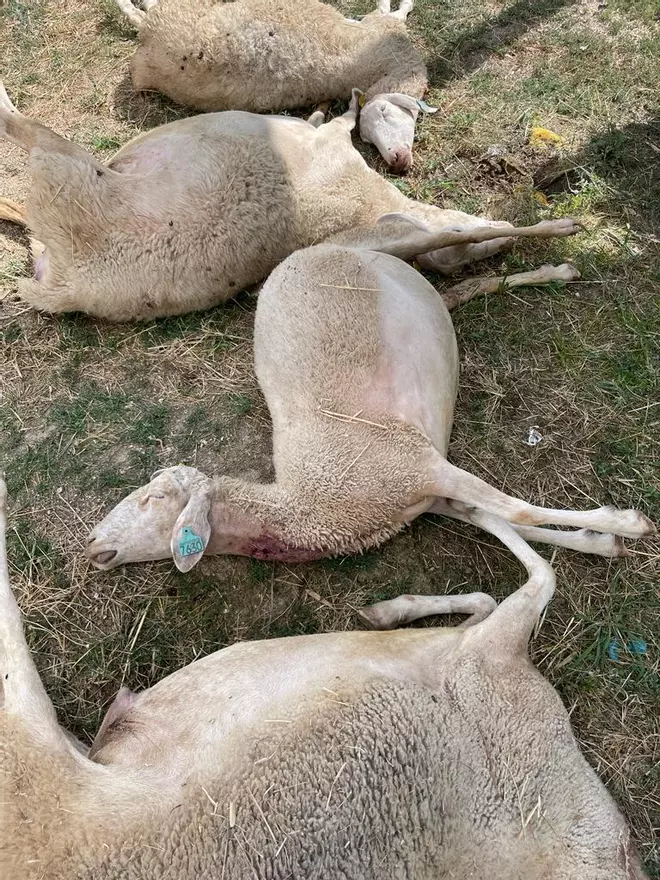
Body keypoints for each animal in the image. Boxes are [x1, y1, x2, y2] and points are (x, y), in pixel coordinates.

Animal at [0, 478, 648, 876]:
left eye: (153, 497)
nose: (92, 545)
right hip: (488, 667)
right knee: (499, 593)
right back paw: (398, 602)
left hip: (486, 666)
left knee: (533, 575)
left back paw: (599, 527)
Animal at [86, 242, 656, 572]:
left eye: (153, 498)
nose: (92, 545)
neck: (306, 506)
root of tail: (312, 248)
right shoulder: (422, 495)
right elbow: (497, 518)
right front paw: (599, 542)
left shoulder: (415, 464)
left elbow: (514, 509)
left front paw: (626, 524)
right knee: (468, 289)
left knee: (481, 281)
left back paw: (558, 269)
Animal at [115, 0, 430, 173]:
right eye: (383, 113)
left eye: (365, 139)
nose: (399, 161)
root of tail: (148, 43)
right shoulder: (380, 28)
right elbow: (391, 12)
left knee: (144, 11)